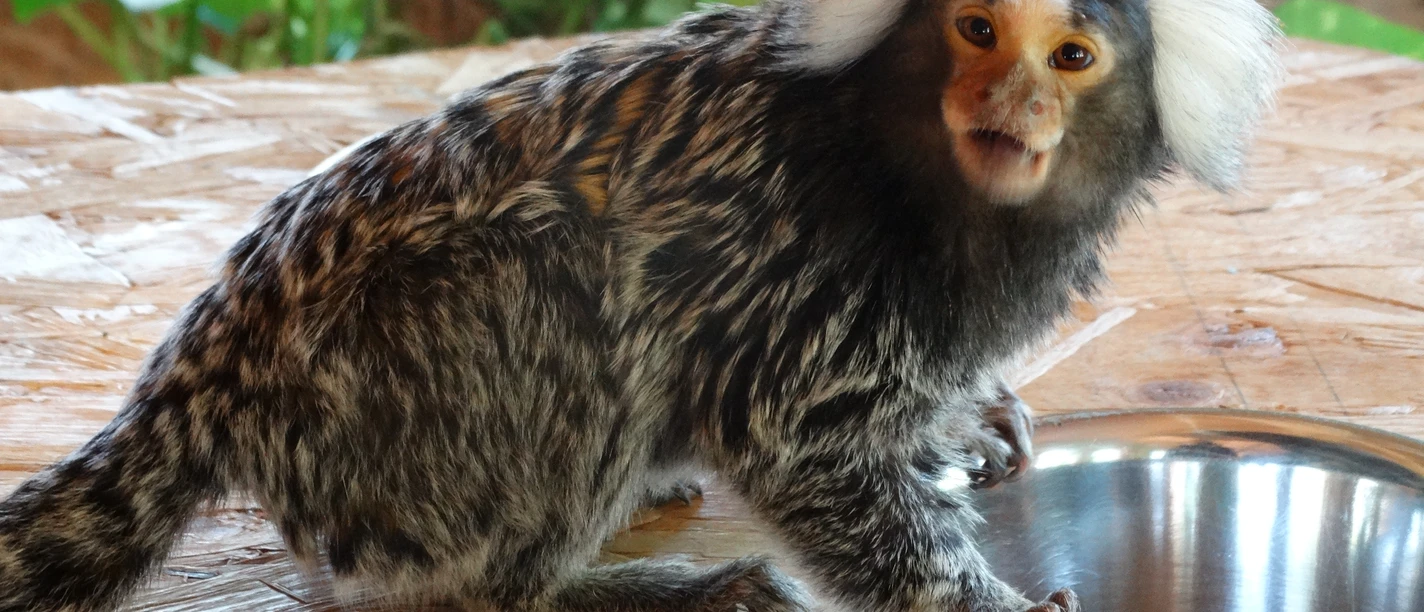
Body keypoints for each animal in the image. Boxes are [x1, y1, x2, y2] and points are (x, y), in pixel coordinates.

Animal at [0, 0, 1281, 609]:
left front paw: (969, 415)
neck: (917, 171)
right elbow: (796, 443)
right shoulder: (805, 268)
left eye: (1068, 57)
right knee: (558, 304)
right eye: (975, 29)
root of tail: (210, 368)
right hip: (411, 354)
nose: (1004, 99)